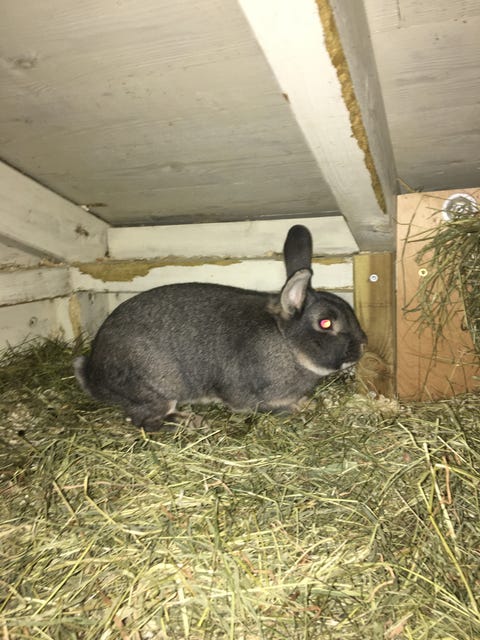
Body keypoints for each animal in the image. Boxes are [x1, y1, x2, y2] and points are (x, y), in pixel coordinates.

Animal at [74, 225, 367, 431]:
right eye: (325, 323)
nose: (363, 343)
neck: (287, 343)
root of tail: (93, 376)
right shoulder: (248, 398)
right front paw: (300, 407)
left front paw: (309, 402)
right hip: (158, 386)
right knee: (146, 422)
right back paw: (190, 422)